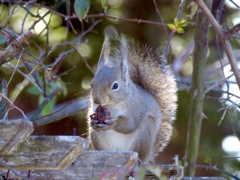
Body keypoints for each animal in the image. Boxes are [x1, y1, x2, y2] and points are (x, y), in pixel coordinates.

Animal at [87, 34, 177, 163]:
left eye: (115, 86)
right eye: (91, 84)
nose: (97, 100)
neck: (113, 105)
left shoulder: (136, 108)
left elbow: (130, 124)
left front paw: (113, 123)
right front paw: (93, 121)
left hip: (145, 133)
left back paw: (138, 159)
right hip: (96, 137)